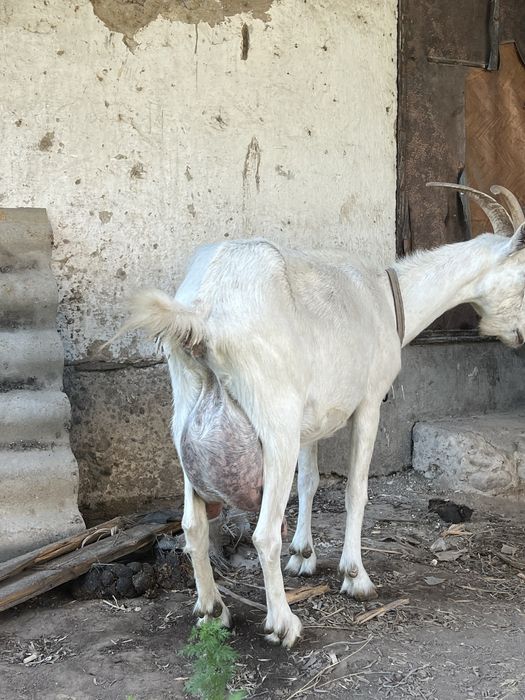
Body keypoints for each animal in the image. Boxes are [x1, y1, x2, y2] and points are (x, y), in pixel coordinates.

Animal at [121, 183, 525, 648]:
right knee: (263, 533)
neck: (388, 299)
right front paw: (355, 576)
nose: (521, 336)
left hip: (187, 419)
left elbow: (310, 482)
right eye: (524, 278)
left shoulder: (310, 421)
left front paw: (304, 556)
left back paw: (212, 611)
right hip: (275, 422)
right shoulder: (369, 403)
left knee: (192, 526)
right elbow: (355, 490)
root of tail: (203, 311)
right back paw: (283, 623)